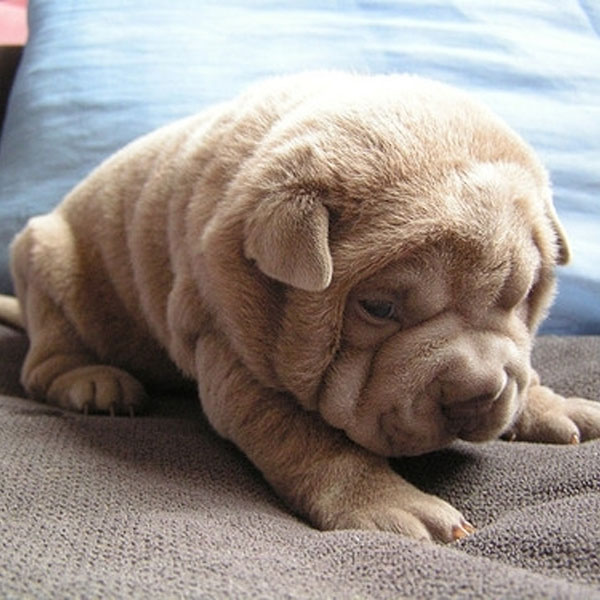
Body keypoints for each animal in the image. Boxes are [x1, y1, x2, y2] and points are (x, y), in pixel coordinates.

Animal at [4, 72, 600, 540]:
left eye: (521, 296)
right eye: (378, 308)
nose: (477, 393)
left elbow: (522, 369)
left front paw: (550, 404)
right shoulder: (231, 352)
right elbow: (310, 440)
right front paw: (390, 503)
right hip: (50, 262)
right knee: (45, 362)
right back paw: (94, 382)